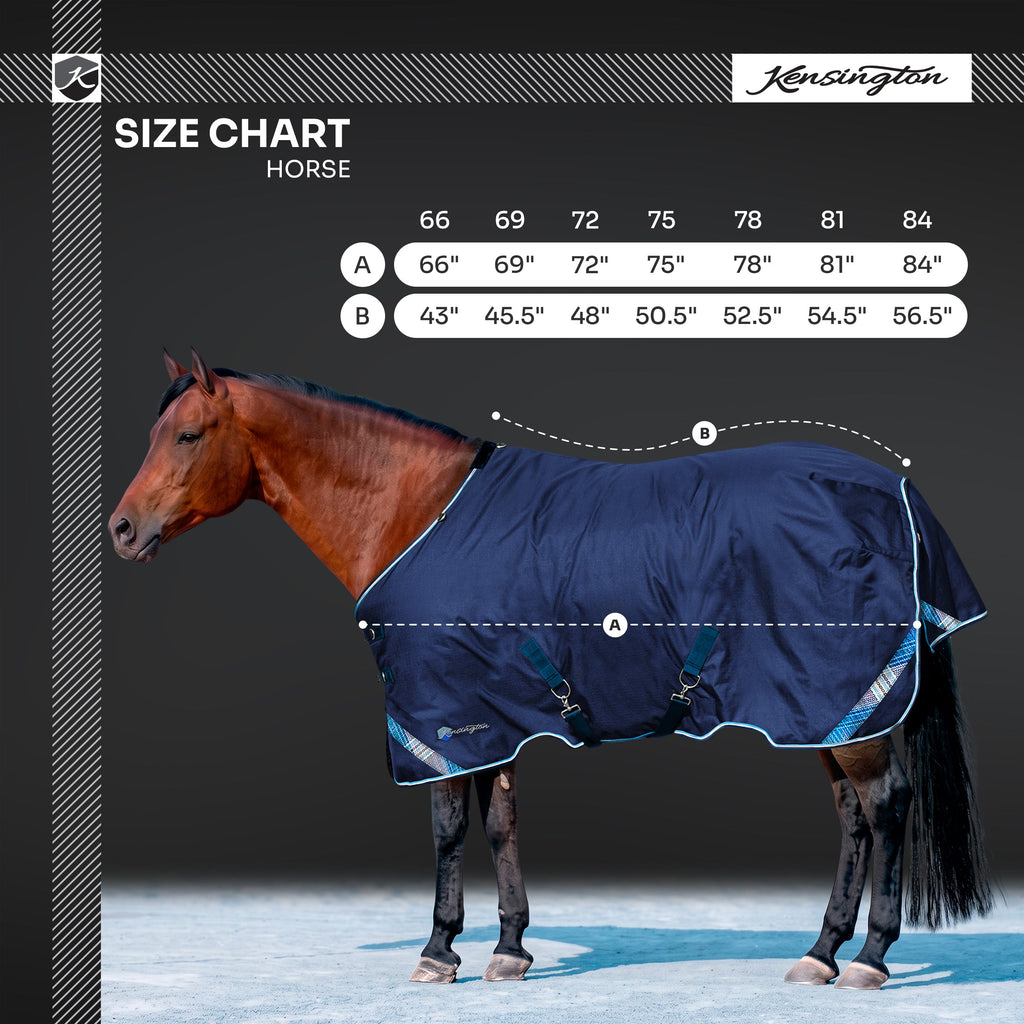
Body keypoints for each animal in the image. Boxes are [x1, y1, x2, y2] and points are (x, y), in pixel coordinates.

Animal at [109, 349, 994, 990]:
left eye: (188, 435)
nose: (122, 528)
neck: (417, 511)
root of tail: (898, 495)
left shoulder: (439, 717)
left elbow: (448, 829)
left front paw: (437, 951)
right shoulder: (491, 716)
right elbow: (500, 825)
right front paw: (508, 949)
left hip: (844, 705)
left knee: (886, 807)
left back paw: (870, 959)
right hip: (824, 710)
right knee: (853, 818)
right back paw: (820, 953)